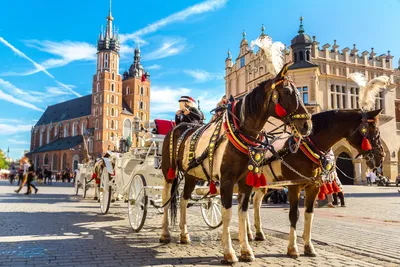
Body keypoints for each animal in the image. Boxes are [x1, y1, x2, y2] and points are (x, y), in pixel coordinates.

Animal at [161, 64, 314, 264]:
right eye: (287, 91)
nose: (307, 125)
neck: (240, 133)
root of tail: (180, 126)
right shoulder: (227, 181)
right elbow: (227, 214)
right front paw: (229, 252)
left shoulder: (245, 181)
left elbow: (242, 212)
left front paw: (246, 250)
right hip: (168, 171)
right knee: (166, 198)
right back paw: (165, 234)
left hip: (191, 174)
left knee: (183, 200)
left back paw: (184, 235)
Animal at [252, 109, 386, 260]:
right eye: (375, 131)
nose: (381, 157)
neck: (304, 148)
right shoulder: (294, 186)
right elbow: (294, 215)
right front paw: (292, 248)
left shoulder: (313, 186)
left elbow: (309, 214)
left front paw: (308, 247)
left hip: (263, 184)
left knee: (255, 202)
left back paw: (256, 233)